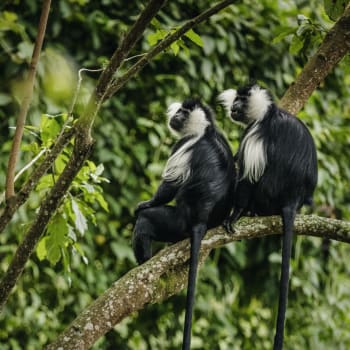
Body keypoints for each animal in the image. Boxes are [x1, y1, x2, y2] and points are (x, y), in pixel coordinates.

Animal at [133, 98, 237, 350]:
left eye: (183, 113)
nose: (175, 116)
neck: (205, 130)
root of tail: (200, 220)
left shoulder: (184, 145)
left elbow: (169, 186)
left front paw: (145, 203)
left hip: (175, 221)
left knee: (146, 221)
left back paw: (143, 261)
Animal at [219, 84, 318, 350]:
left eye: (242, 100)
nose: (233, 107)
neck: (267, 113)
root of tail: (292, 199)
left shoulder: (255, 133)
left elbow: (246, 177)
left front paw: (234, 215)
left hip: (267, 194)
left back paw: (248, 211)